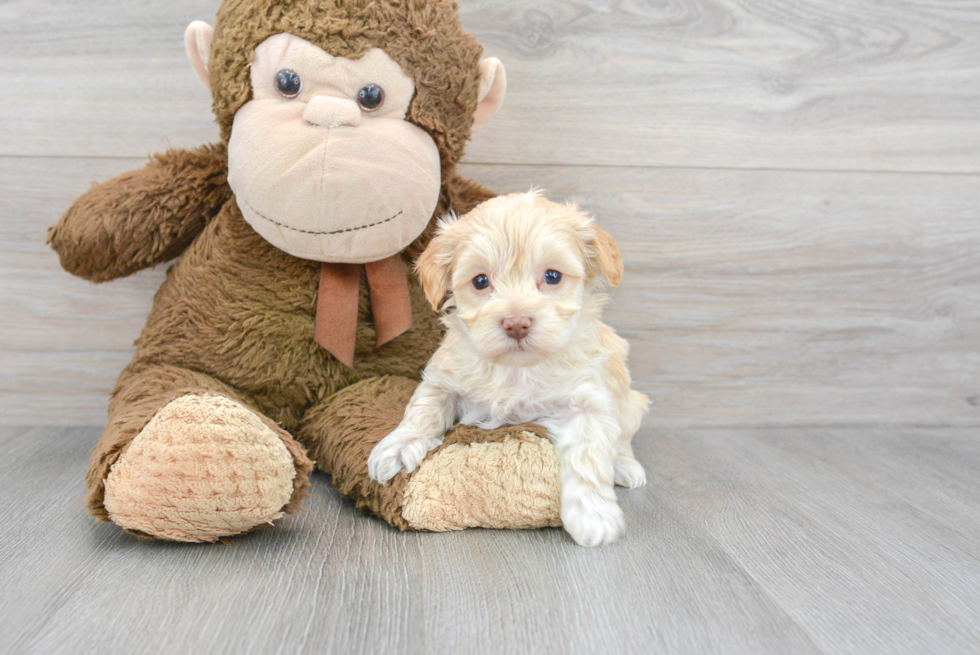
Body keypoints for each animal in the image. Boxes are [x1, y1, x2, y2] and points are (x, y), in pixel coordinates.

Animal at [368, 191, 652, 548]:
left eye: (553, 276)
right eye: (480, 281)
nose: (516, 323)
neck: (516, 368)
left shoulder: (588, 402)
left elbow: (588, 457)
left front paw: (593, 518)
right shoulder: (444, 377)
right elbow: (424, 410)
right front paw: (399, 446)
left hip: (628, 401)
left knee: (623, 440)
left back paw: (625, 468)